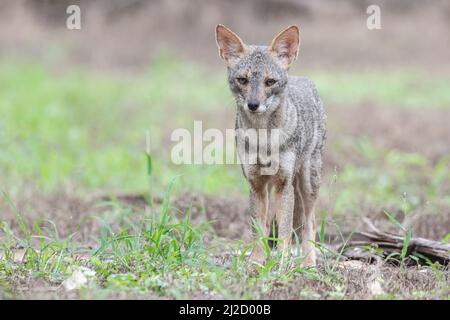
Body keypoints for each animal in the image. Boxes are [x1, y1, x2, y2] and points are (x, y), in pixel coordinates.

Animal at [215, 25, 326, 266]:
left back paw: (309, 264)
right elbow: (259, 230)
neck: (263, 138)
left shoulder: (284, 184)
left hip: (307, 184)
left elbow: (284, 232)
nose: (253, 105)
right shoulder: (256, 184)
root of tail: (303, 79)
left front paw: (282, 265)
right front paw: (256, 264)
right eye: (243, 80)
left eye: (270, 82)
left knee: (310, 223)